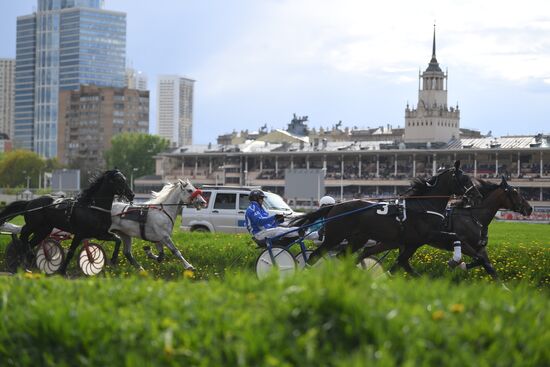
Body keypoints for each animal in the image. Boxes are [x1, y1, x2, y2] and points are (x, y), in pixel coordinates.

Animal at [0, 171, 134, 274]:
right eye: (119, 180)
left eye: (125, 179)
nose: (132, 195)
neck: (92, 208)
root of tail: (30, 202)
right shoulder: (80, 234)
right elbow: (70, 252)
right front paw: (62, 271)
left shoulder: (99, 234)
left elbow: (118, 239)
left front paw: (114, 259)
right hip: (33, 224)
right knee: (23, 234)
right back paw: (23, 256)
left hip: (44, 230)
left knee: (30, 242)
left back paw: (26, 260)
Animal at [292, 160, 480, 274]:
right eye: (466, 178)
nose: (477, 195)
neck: (424, 206)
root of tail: (335, 206)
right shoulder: (427, 235)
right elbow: (455, 236)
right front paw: (457, 260)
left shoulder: (413, 241)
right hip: (334, 237)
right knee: (314, 256)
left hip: (357, 239)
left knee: (342, 256)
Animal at [362, 177, 536, 280]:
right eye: (515, 192)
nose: (530, 208)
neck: (473, 217)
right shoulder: (464, 244)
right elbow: (479, 260)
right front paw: (459, 264)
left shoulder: (480, 247)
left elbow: (489, 266)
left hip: (404, 243)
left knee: (400, 262)